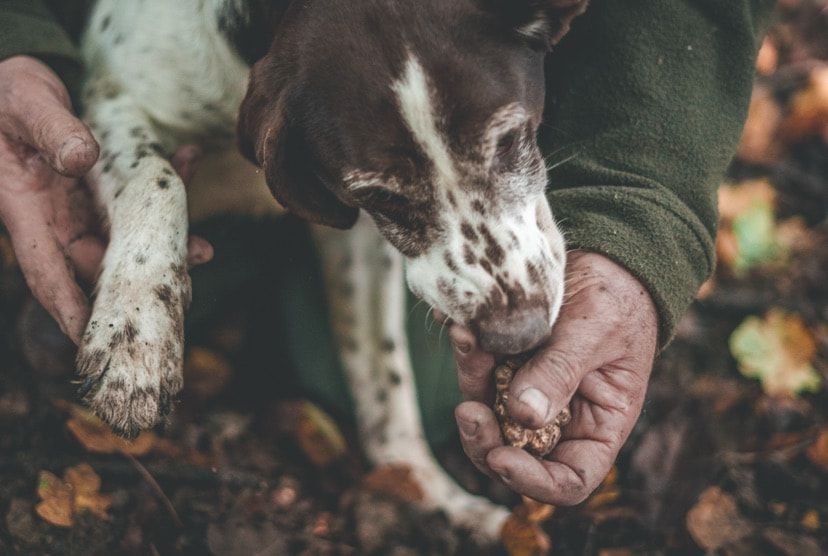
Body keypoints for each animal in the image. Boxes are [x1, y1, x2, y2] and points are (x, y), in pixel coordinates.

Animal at [74, 0, 584, 540]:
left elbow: (384, 377)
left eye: (509, 140)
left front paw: (427, 493)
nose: (519, 334)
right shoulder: (111, 101)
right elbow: (157, 177)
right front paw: (134, 337)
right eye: (381, 195)